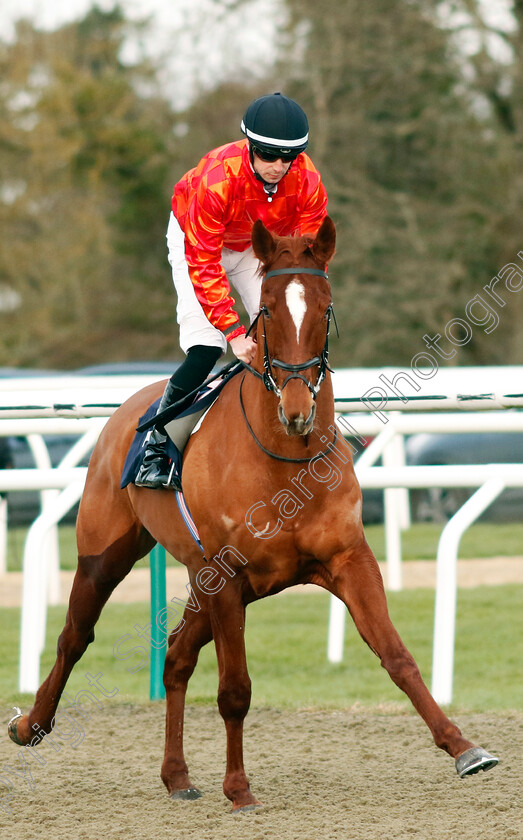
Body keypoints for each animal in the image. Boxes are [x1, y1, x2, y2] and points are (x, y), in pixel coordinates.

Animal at [9, 215, 500, 808]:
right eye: (266, 307)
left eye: (324, 306)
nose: (296, 409)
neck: (284, 461)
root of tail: (129, 407)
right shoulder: (228, 576)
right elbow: (235, 689)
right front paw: (239, 787)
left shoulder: (346, 559)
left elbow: (396, 655)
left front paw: (464, 748)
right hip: (109, 555)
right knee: (75, 638)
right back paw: (30, 725)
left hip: (202, 581)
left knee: (176, 658)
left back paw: (177, 775)